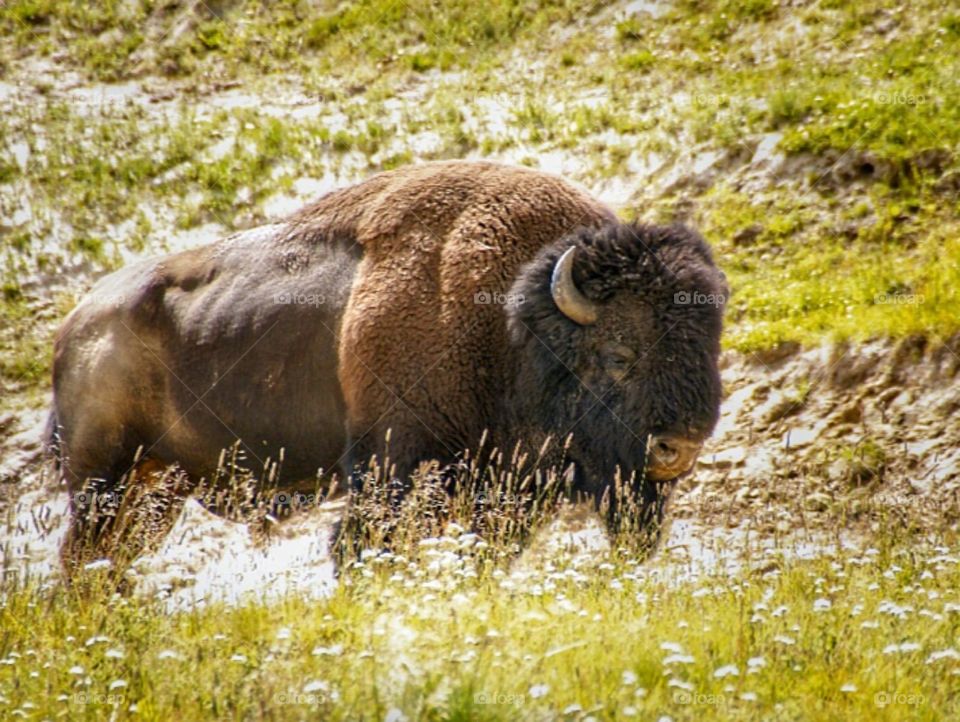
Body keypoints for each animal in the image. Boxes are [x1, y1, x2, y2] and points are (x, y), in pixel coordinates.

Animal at [48, 160, 727, 573]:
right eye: (619, 354)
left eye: (709, 351)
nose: (678, 449)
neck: (512, 319)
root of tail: (76, 322)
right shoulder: (393, 464)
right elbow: (363, 545)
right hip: (103, 479)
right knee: (84, 560)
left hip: (157, 487)